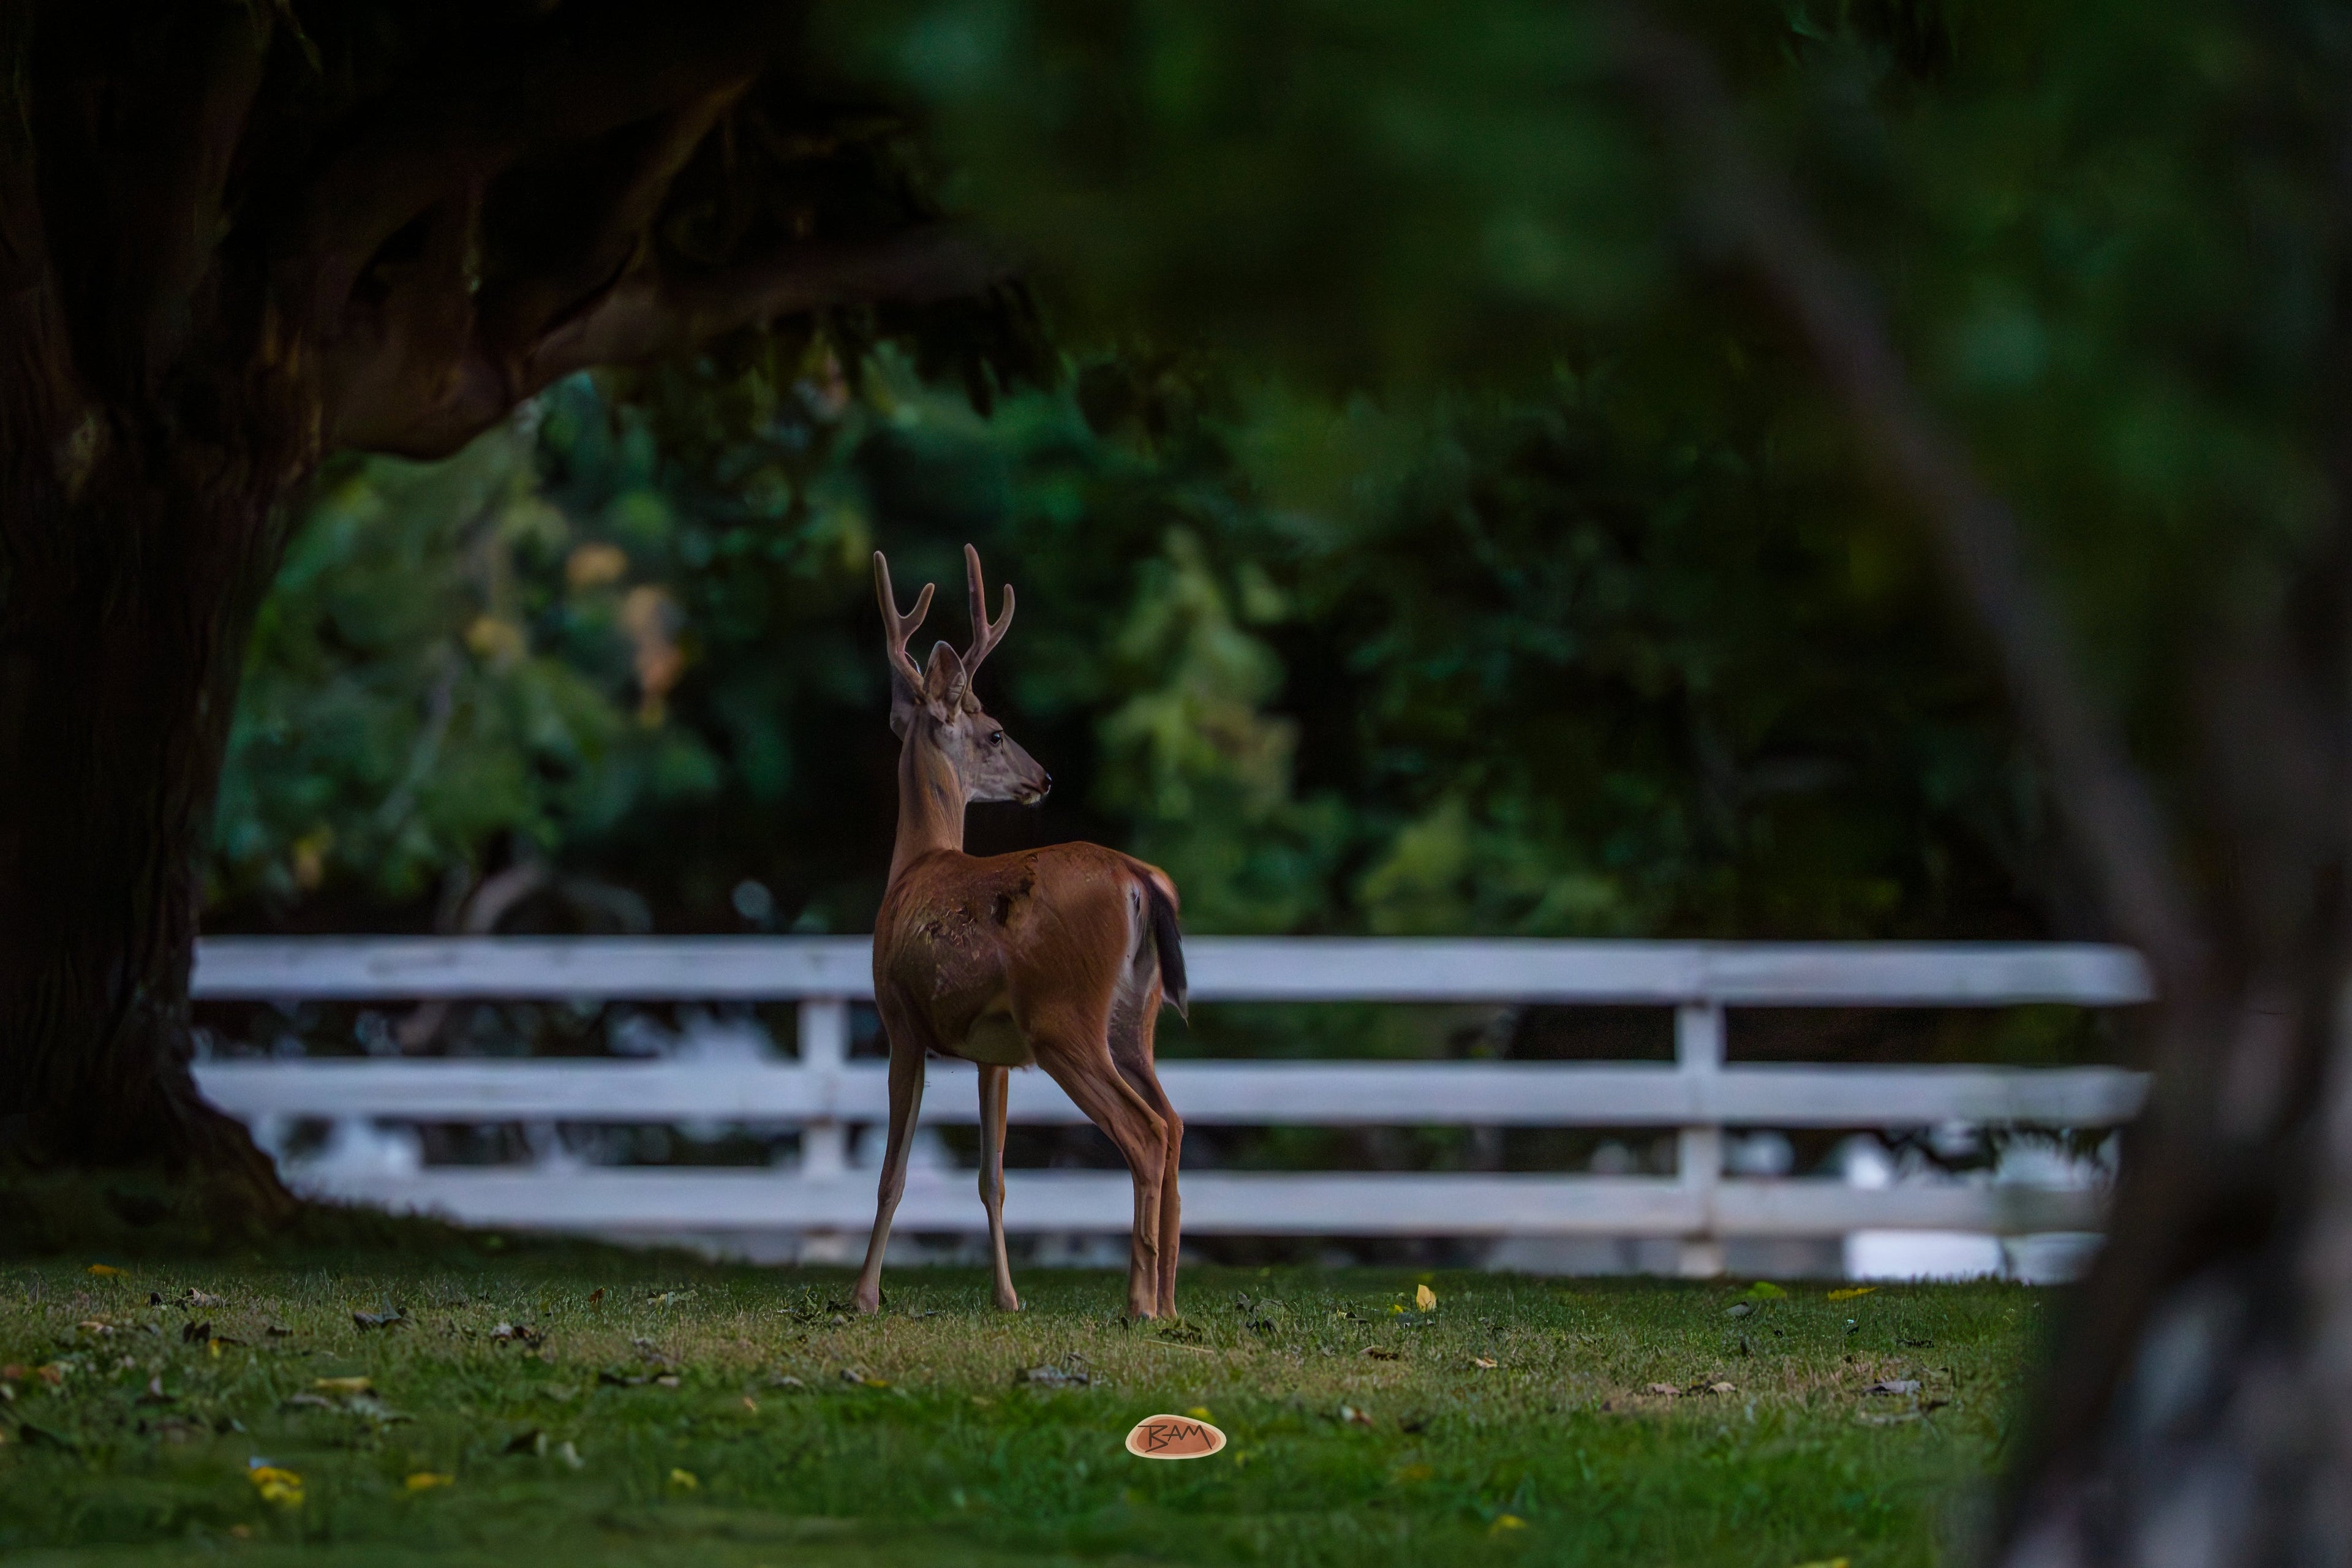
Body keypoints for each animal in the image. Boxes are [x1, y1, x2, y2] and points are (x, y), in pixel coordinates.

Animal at [853, 545, 1189, 1320]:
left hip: (1065, 1017)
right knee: (1175, 1122)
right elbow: (993, 1178)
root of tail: (1139, 878)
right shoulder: (993, 1055)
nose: (1045, 778)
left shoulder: (900, 1020)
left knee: (1147, 1132)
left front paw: (863, 1293)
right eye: (997, 734)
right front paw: (1007, 1297)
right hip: (1133, 1019)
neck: (916, 865)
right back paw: (1169, 1301)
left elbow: (893, 1174)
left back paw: (1139, 1300)